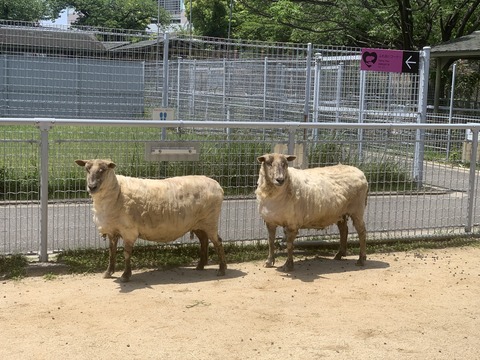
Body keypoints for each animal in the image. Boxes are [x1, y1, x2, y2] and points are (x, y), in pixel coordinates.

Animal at [74, 158, 227, 282]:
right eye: (87, 169)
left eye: (103, 170)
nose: (91, 187)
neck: (117, 192)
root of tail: (217, 185)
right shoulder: (112, 230)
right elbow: (112, 252)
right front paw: (108, 272)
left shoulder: (129, 231)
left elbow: (126, 253)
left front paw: (125, 275)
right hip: (198, 223)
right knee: (204, 241)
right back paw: (200, 265)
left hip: (210, 220)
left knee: (218, 242)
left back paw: (222, 269)